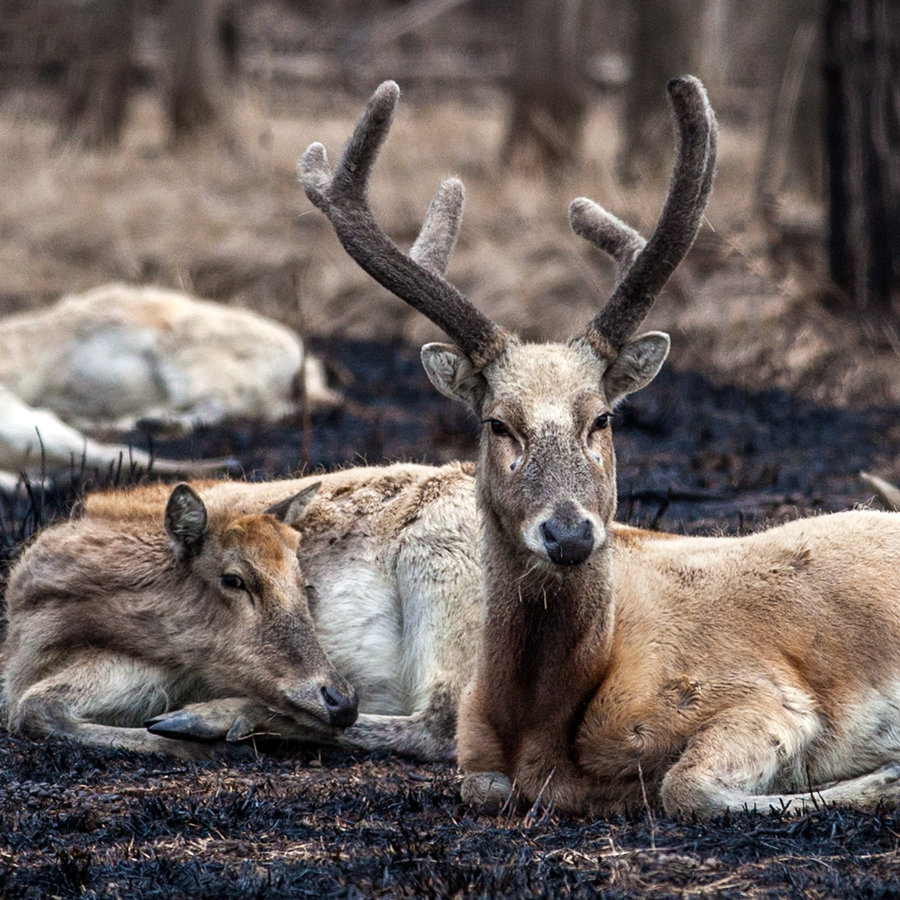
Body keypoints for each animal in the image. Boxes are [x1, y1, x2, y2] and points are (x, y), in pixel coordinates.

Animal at [298, 81, 900, 820]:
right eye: (498, 424)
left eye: (603, 418)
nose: (568, 532)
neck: (540, 716)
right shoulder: (477, 756)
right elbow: (483, 784)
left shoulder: (762, 692)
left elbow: (683, 787)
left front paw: (883, 777)